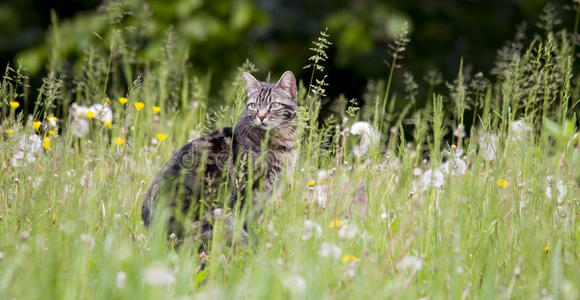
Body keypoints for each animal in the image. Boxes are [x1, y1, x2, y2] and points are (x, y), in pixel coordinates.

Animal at [142, 71, 300, 246]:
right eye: (254, 105)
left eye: (274, 105)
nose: (261, 116)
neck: (282, 142)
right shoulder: (246, 193)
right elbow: (246, 224)